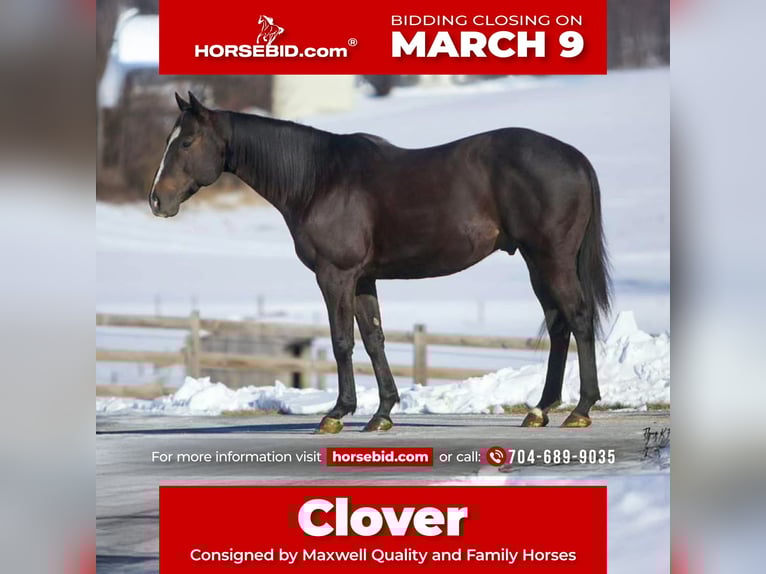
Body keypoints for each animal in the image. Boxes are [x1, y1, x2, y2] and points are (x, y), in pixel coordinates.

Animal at [150, 92, 611, 432]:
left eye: (186, 142)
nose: (157, 200)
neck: (319, 180)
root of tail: (575, 158)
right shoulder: (363, 280)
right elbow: (374, 339)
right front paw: (383, 413)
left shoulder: (335, 275)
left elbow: (342, 341)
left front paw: (337, 413)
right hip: (536, 262)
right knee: (558, 324)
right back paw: (541, 409)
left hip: (551, 258)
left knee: (578, 317)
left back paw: (580, 409)